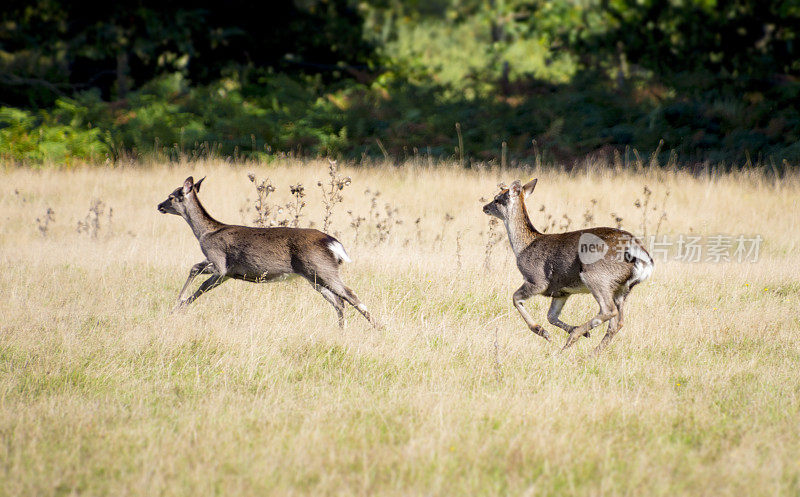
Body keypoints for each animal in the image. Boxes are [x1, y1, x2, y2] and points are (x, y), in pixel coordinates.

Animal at [159, 176, 378, 328]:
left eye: (171, 196)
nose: (159, 205)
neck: (205, 233)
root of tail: (333, 243)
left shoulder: (220, 262)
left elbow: (196, 274)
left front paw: (178, 304)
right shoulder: (226, 273)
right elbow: (200, 282)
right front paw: (179, 306)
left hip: (321, 269)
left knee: (350, 295)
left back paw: (378, 327)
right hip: (315, 276)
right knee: (339, 302)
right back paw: (342, 330)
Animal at [484, 178, 652, 352]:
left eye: (497, 199)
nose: (485, 207)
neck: (523, 246)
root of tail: (641, 254)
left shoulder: (537, 280)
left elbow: (515, 298)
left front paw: (542, 331)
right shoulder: (561, 291)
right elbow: (551, 316)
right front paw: (568, 331)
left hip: (596, 276)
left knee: (608, 310)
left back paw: (573, 339)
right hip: (622, 288)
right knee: (617, 323)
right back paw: (592, 350)